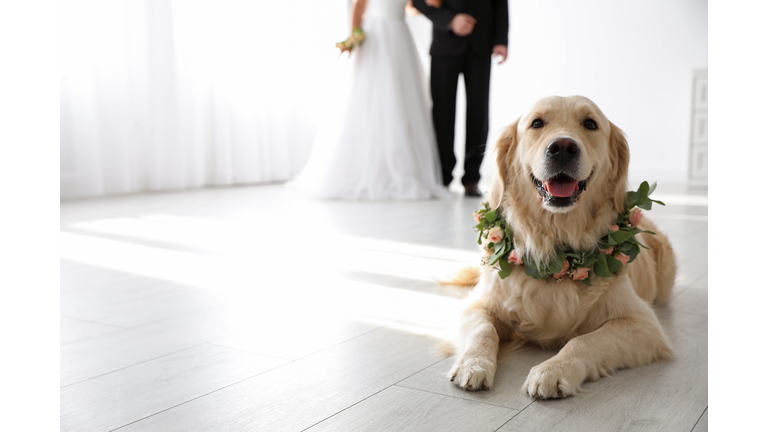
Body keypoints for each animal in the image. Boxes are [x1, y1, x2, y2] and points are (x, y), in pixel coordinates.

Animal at [448, 94, 676, 398]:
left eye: (590, 124)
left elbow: (583, 341)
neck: (556, 245)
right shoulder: (478, 305)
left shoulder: (643, 325)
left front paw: (553, 370)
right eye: (536, 123)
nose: (563, 148)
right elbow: (482, 330)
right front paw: (472, 364)